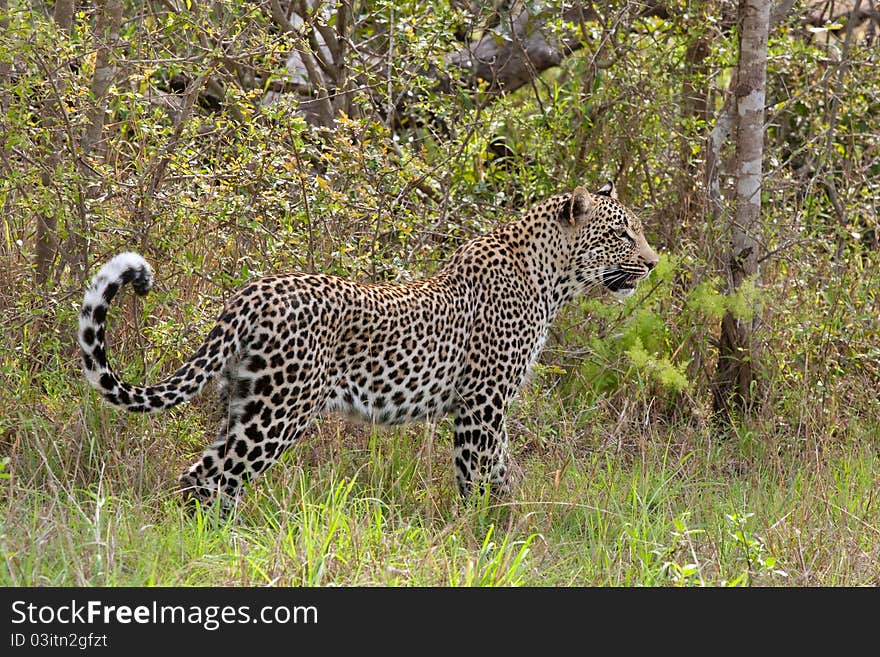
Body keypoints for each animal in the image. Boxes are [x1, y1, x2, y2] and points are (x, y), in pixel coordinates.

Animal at [79, 183, 656, 508]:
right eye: (623, 236)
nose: (653, 263)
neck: (552, 278)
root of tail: (252, 291)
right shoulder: (482, 405)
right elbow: (479, 477)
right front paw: (484, 536)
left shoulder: (487, 407)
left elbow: (502, 473)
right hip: (279, 412)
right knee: (207, 477)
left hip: (242, 403)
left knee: (217, 477)